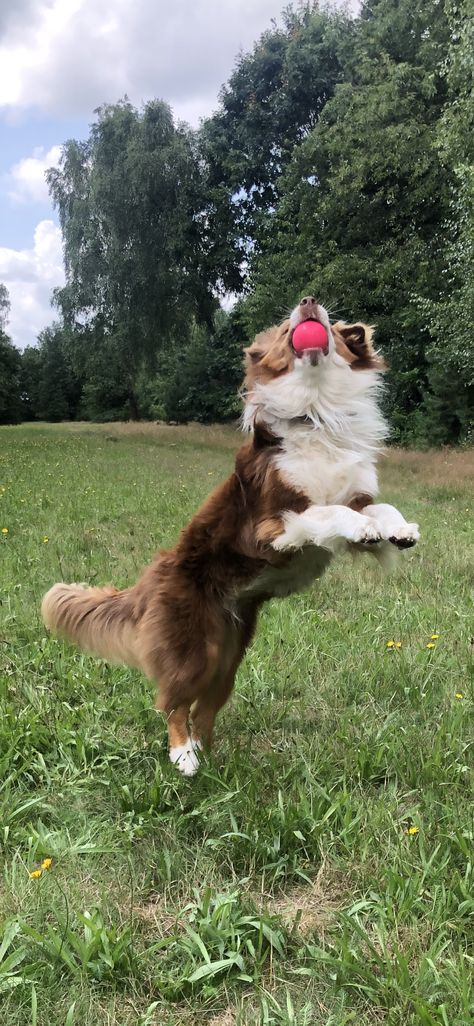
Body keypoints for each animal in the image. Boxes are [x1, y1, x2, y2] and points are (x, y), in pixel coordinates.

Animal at [40, 297, 418, 775]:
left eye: (332, 324)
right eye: (284, 330)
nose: (308, 301)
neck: (316, 412)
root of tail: (148, 580)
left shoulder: (355, 496)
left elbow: (377, 508)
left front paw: (398, 529)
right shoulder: (271, 526)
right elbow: (326, 512)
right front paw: (368, 528)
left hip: (228, 658)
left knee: (205, 709)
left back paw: (210, 756)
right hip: (194, 651)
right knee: (172, 703)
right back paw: (183, 756)